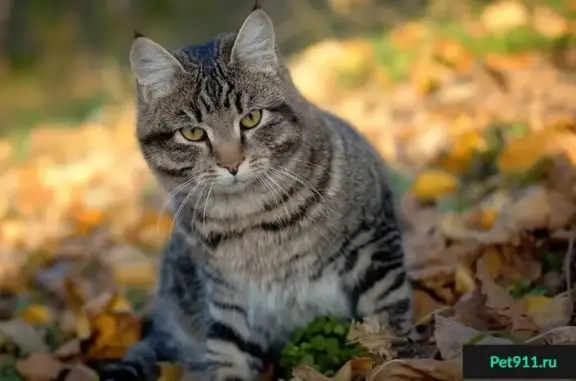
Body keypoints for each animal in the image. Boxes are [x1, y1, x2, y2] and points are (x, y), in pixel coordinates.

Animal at [100, 5, 414, 380]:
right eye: (192, 133)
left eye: (251, 118)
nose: (231, 163)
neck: (253, 219)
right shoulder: (226, 301)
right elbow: (228, 358)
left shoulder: (375, 247)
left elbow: (386, 325)